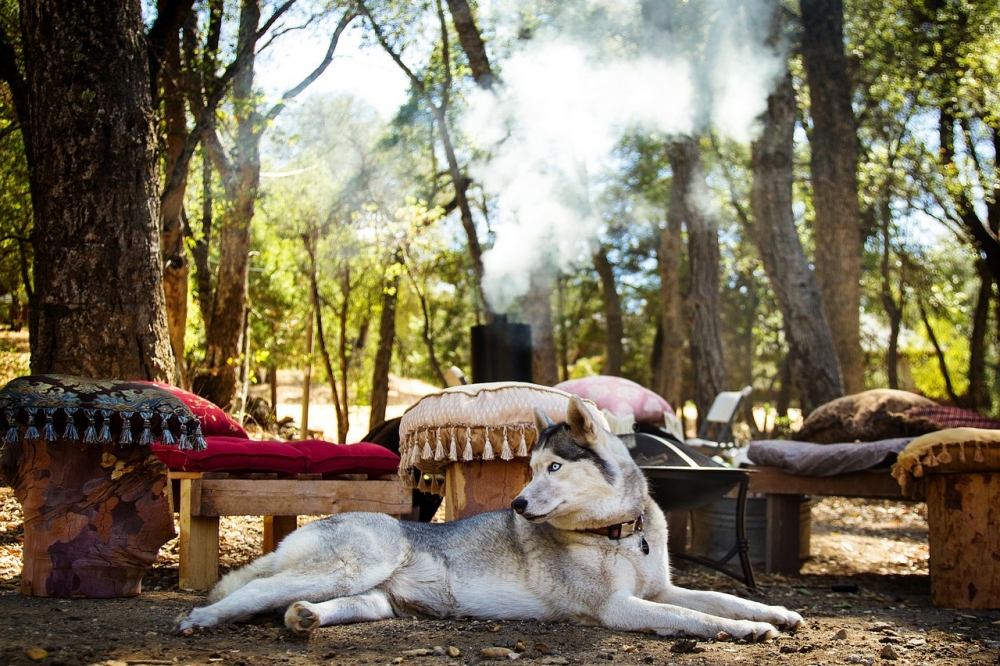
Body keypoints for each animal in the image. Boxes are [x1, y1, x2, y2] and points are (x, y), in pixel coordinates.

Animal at [178, 394, 804, 640]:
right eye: (528, 470)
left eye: (554, 467)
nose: (518, 506)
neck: (621, 535)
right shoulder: (617, 608)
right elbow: (693, 618)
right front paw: (747, 632)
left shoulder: (661, 589)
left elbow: (720, 598)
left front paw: (774, 613)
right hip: (353, 565)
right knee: (250, 590)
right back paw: (203, 619)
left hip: (373, 597)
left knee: (305, 602)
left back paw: (305, 618)